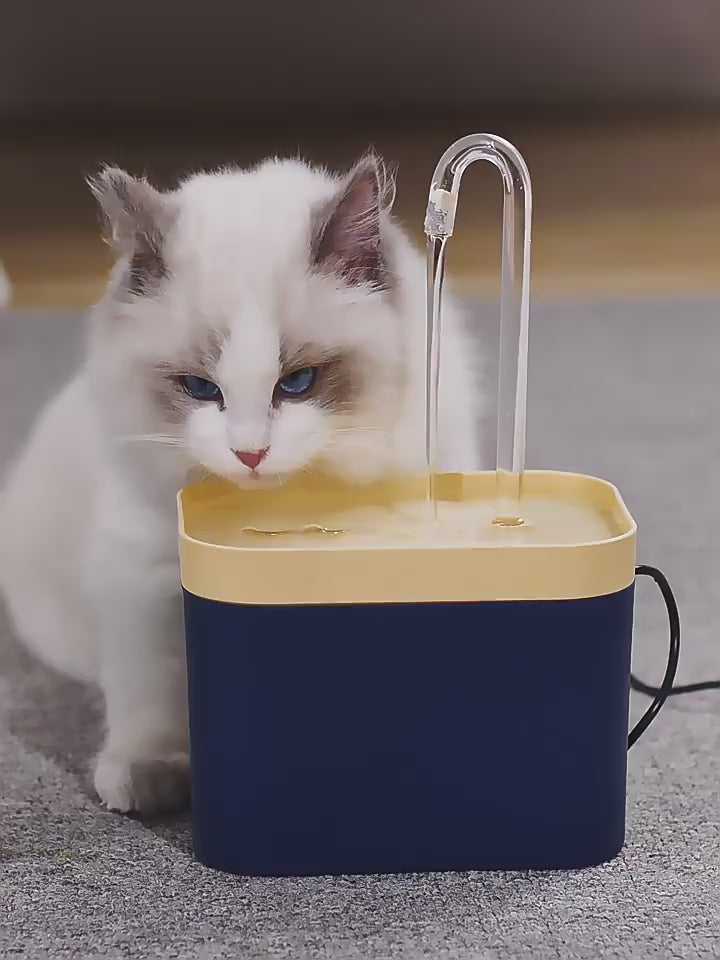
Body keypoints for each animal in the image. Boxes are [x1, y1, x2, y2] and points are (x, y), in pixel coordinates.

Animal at [1, 154, 484, 812]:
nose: (250, 453)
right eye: (201, 389)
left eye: (299, 382)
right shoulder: (144, 580)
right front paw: (151, 779)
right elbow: (151, 694)